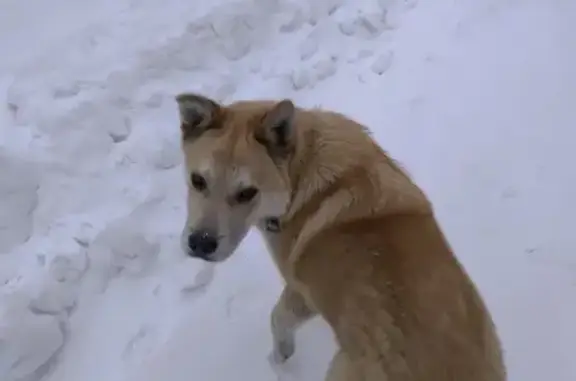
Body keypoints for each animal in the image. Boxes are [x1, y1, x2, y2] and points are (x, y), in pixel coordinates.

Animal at [174, 93, 504, 380]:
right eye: (197, 181)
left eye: (247, 193)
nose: (200, 244)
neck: (301, 173)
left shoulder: (301, 292)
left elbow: (277, 318)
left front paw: (280, 357)